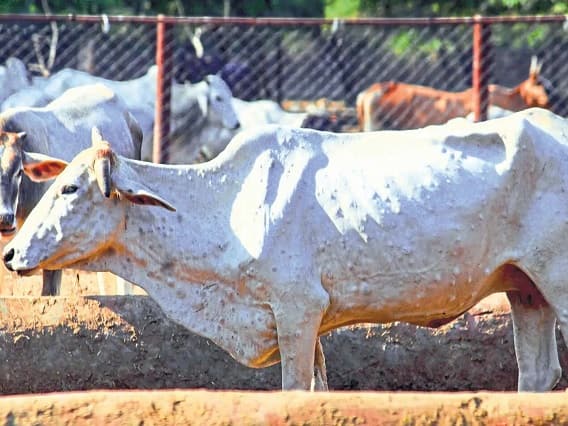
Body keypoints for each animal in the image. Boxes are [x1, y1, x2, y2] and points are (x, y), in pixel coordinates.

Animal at [2, 108, 564, 392]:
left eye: (70, 188)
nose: (11, 255)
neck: (227, 204)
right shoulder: (306, 322)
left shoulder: (297, 310)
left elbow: (296, 392)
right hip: (526, 289)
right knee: (538, 376)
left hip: (557, 280)